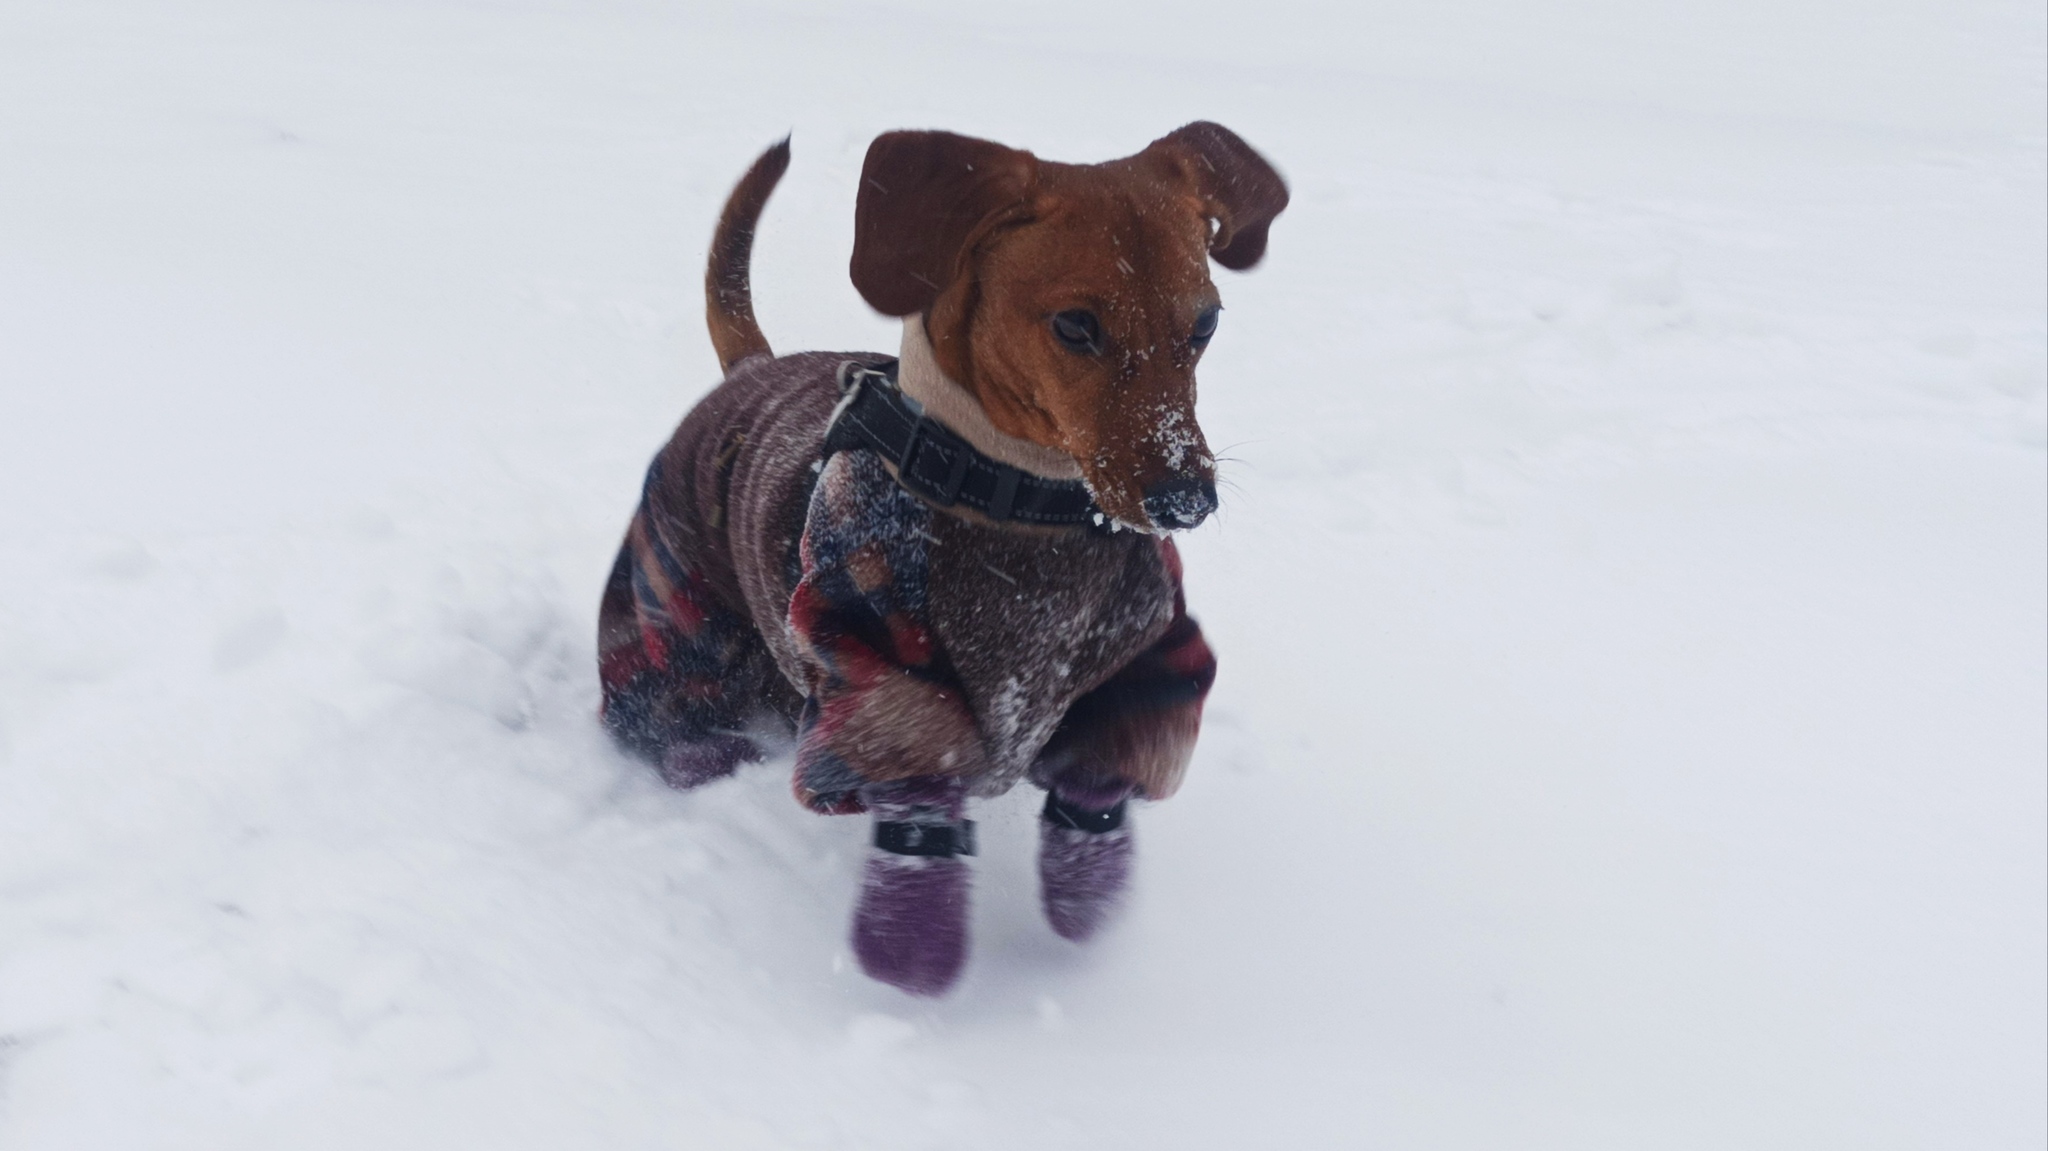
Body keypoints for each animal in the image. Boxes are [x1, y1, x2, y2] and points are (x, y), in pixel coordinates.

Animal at [598, 120, 1286, 991]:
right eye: (1075, 326)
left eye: (1206, 325)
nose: (1187, 499)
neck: (1019, 498)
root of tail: (754, 366)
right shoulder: (870, 650)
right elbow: (916, 782)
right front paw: (911, 935)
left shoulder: (1149, 645)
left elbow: (1108, 761)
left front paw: (1087, 891)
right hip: (673, 601)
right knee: (665, 704)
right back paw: (707, 756)